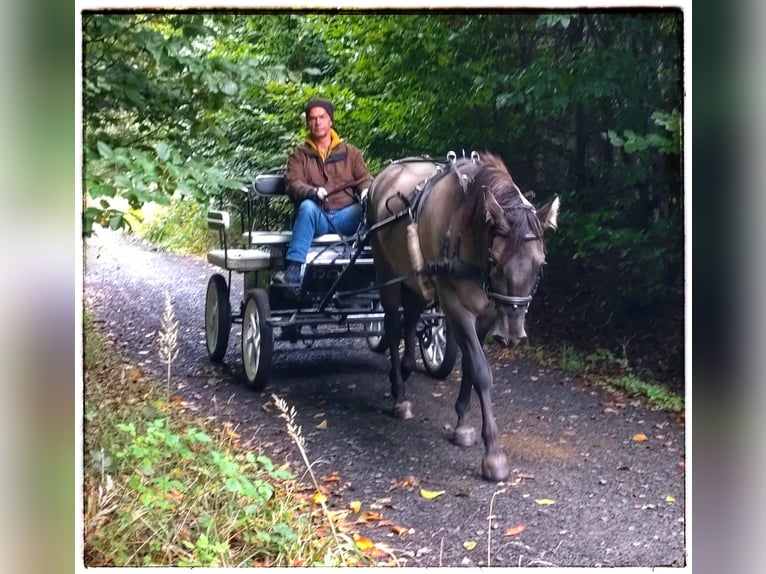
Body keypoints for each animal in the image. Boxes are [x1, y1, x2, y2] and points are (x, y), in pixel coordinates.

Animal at [367, 152, 560, 481]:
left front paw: (463, 424)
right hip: (385, 271)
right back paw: (400, 395)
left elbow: (470, 365)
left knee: (411, 317)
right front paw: (493, 454)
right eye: (496, 260)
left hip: (416, 276)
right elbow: (481, 371)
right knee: (392, 326)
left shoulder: (488, 313)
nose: (512, 335)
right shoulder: (456, 307)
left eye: (540, 262)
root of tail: (384, 175)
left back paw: (404, 370)